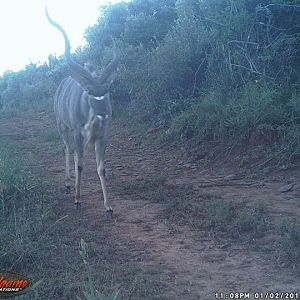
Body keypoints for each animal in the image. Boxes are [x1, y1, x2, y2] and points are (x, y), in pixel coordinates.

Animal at [45, 8, 119, 217]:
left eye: (107, 90)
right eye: (88, 91)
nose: (104, 114)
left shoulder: (102, 135)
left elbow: (101, 168)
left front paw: (108, 207)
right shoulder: (78, 132)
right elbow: (80, 164)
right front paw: (77, 200)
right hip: (62, 125)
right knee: (67, 149)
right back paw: (68, 184)